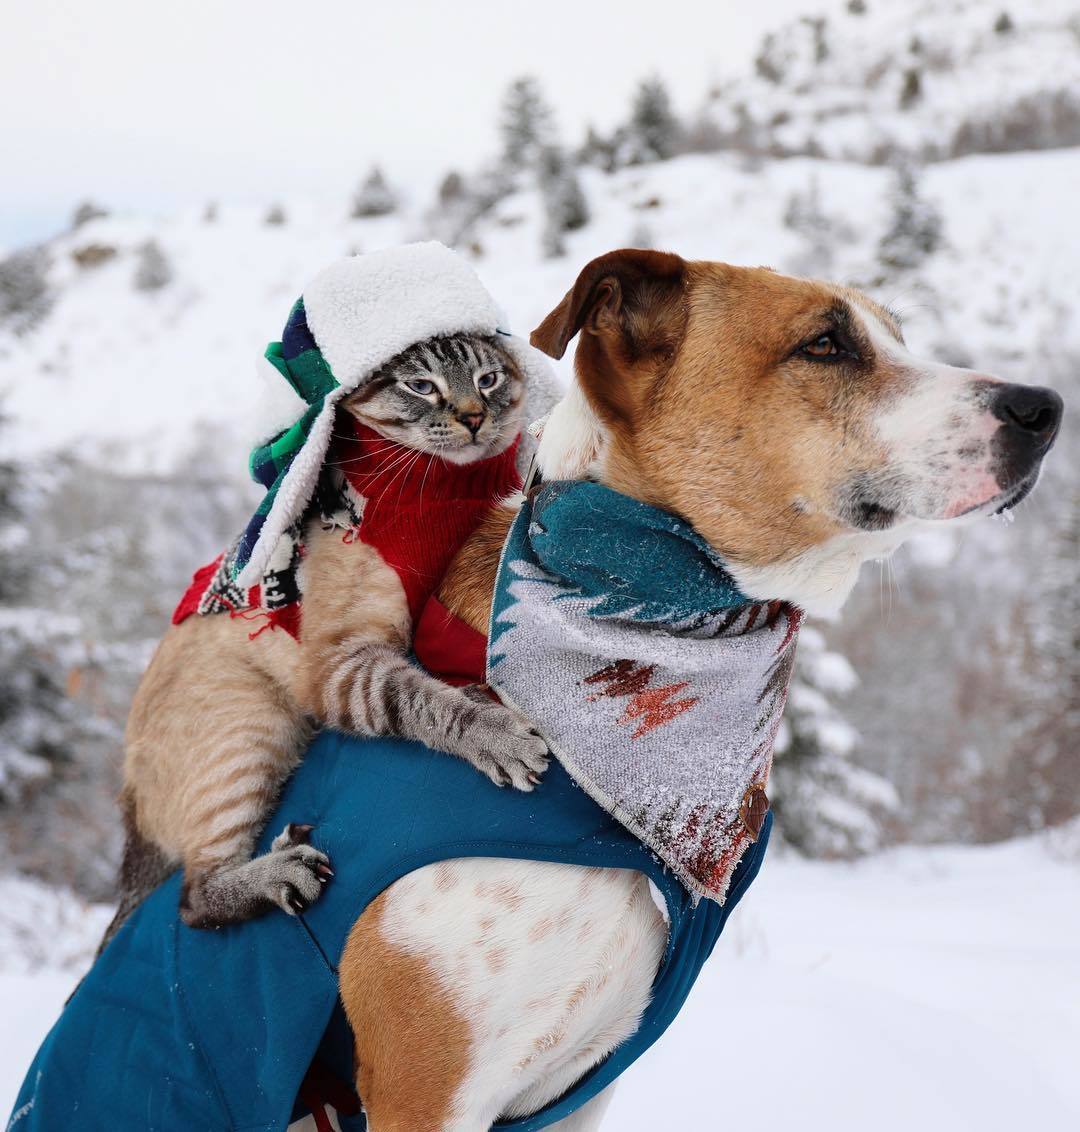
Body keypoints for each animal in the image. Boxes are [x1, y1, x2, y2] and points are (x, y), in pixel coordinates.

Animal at [113, 332, 547, 937]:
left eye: (488, 379)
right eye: (420, 385)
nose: (474, 416)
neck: (449, 491)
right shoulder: (342, 664)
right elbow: (425, 699)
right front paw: (499, 735)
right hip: (252, 728)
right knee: (194, 900)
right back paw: (283, 872)